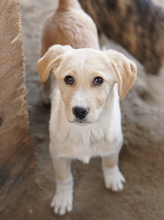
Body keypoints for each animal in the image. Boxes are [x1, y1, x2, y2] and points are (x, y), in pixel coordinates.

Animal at [36, 0, 137, 216]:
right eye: (68, 79)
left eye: (98, 80)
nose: (80, 111)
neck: (87, 132)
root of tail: (65, 9)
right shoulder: (57, 154)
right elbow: (64, 179)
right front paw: (63, 199)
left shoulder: (115, 142)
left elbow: (110, 161)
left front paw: (113, 178)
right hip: (43, 52)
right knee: (44, 80)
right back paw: (46, 95)